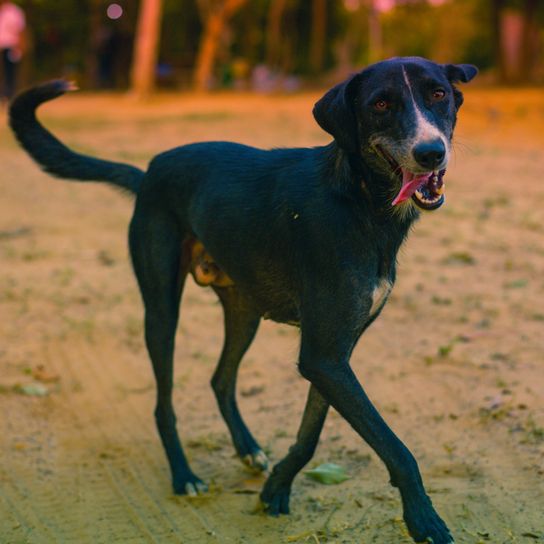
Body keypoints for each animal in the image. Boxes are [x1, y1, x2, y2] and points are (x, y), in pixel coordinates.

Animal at [8, 57, 476, 540]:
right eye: (381, 104)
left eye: (438, 93)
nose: (431, 152)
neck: (359, 198)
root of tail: (149, 172)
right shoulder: (324, 357)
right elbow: (394, 446)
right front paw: (424, 518)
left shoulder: (332, 355)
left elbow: (310, 435)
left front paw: (276, 488)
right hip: (161, 310)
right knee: (164, 402)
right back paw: (184, 475)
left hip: (244, 309)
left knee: (220, 378)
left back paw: (248, 449)